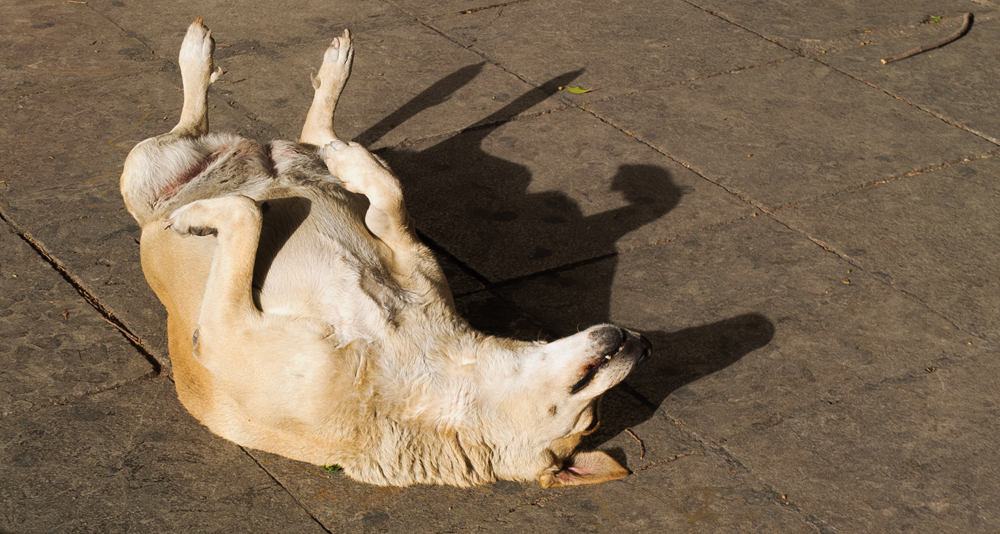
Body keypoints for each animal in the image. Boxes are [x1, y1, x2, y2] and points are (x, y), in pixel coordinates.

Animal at [119, 18, 651, 487]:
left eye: (589, 422)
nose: (644, 344)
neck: (432, 374)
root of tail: (258, 151)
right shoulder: (411, 255)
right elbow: (390, 200)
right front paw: (356, 162)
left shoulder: (223, 330)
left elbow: (246, 213)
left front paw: (197, 218)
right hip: (156, 164)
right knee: (286, 132)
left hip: (143, 171)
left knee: (221, 142)